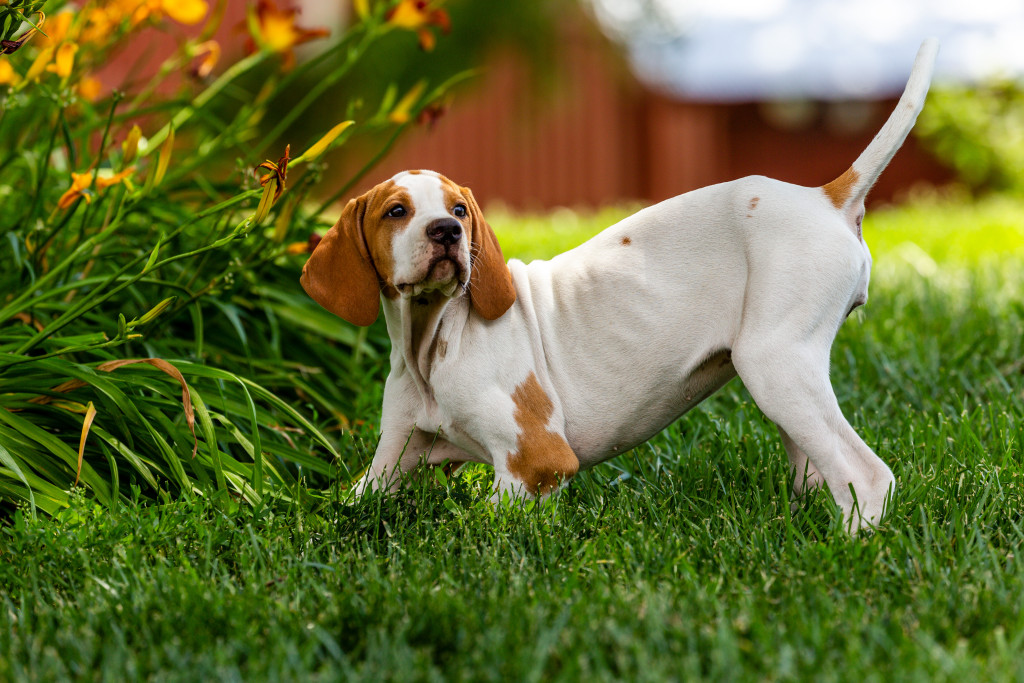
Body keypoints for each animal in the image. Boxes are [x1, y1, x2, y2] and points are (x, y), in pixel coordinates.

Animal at [299, 38, 937, 532]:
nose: (448, 232)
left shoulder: (537, 462)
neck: (431, 341)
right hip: (788, 389)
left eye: (458, 208)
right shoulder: (388, 465)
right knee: (820, 474)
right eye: (395, 212)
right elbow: (339, 509)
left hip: (773, 364)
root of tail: (824, 196)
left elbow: (487, 528)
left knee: (868, 476)